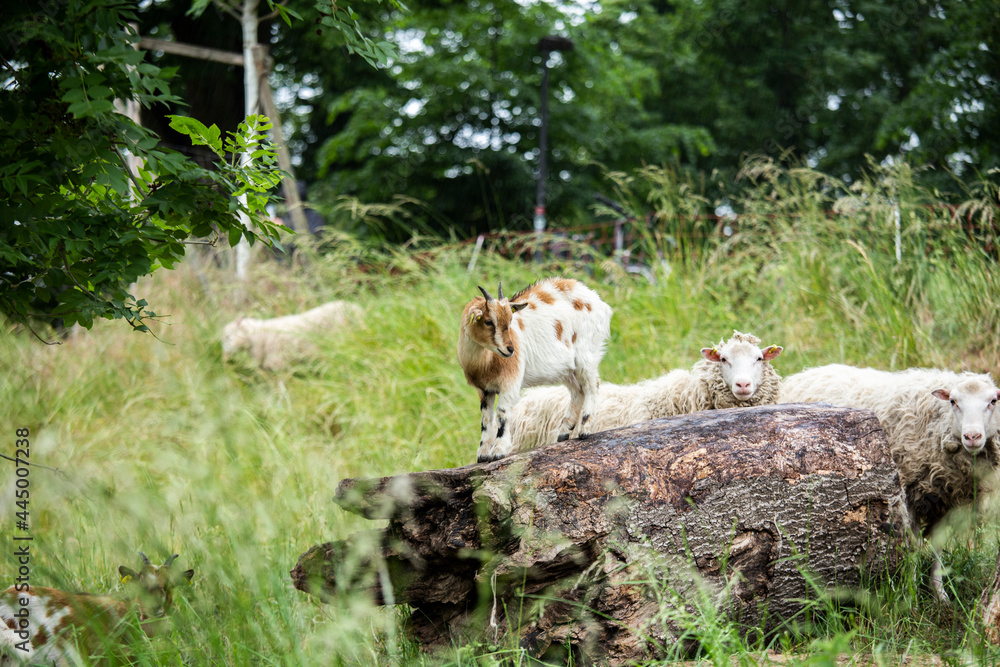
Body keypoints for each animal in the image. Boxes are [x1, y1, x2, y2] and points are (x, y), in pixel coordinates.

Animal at [458, 280, 612, 462]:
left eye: (510, 320)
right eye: (488, 321)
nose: (511, 350)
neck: (486, 362)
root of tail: (597, 300)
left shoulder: (510, 384)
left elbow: (502, 413)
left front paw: (498, 451)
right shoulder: (484, 390)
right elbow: (485, 418)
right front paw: (482, 454)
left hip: (586, 355)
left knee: (592, 385)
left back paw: (584, 429)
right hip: (567, 369)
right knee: (578, 391)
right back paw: (564, 432)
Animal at [780, 366, 1000, 604]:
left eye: (993, 401)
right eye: (953, 401)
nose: (972, 436)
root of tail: (805, 372)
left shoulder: (944, 500)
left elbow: (937, 548)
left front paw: (940, 595)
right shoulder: (908, 494)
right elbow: (912, 545)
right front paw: (912, 593)